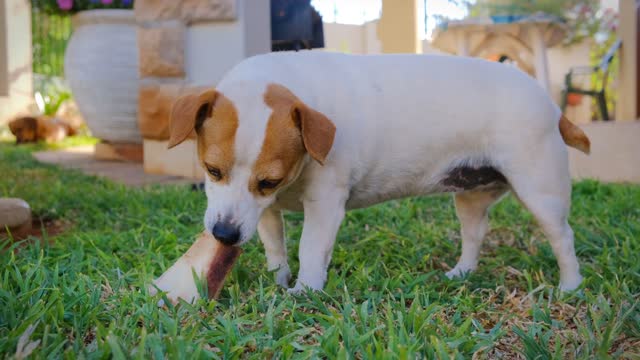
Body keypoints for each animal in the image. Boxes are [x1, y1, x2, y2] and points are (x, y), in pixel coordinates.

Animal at [150, 51, 592, 300]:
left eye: (269, 181)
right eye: (213, 170)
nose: (223, 235)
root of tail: (552, 105)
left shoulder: (323, 205)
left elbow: (311, 249)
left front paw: (304, 291)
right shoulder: (264, 211)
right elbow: (276, 246)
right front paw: (279, 280)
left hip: (540, 190)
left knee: (563, 237)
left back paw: (570, 286)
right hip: (469, 195)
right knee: (474, 235)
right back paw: (461, 272)